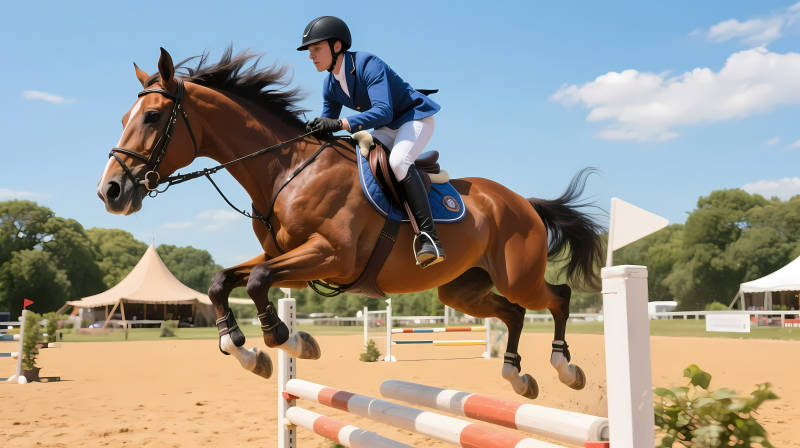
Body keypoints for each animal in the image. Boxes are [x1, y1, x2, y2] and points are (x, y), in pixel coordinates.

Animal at [97, 48, 604, 399]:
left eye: (153, 116)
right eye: (124, 117)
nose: (110, 192)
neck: (285, 170)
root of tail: (522, 202)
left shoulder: (331, 256)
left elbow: (257, 280)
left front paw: (289, 340)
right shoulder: (287, 257)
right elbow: (225, 280)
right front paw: (245, 350)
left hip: (518, 275)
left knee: (556, 298)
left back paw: (565, 368)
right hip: (461, 289)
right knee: (513, 312)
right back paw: (516, 374)